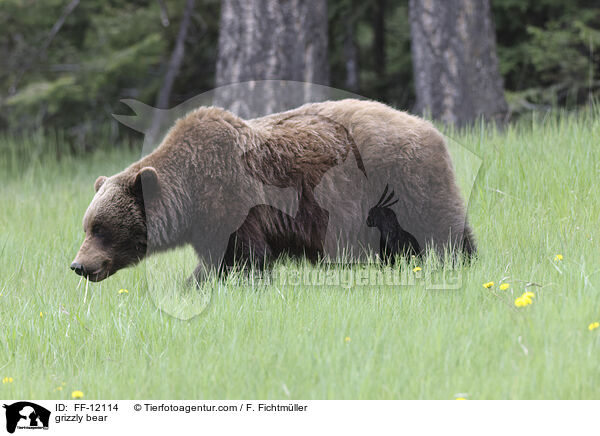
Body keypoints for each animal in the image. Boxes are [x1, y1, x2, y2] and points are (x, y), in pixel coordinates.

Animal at [69, 99, 474, 282]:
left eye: (102, 229)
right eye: (87, 226)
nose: (79, 265)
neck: (191, 195)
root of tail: (428, 127)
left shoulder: (232, 201)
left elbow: (243, 258)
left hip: (403, 179)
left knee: (441, 225)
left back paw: (463, 260)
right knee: (400, 241)